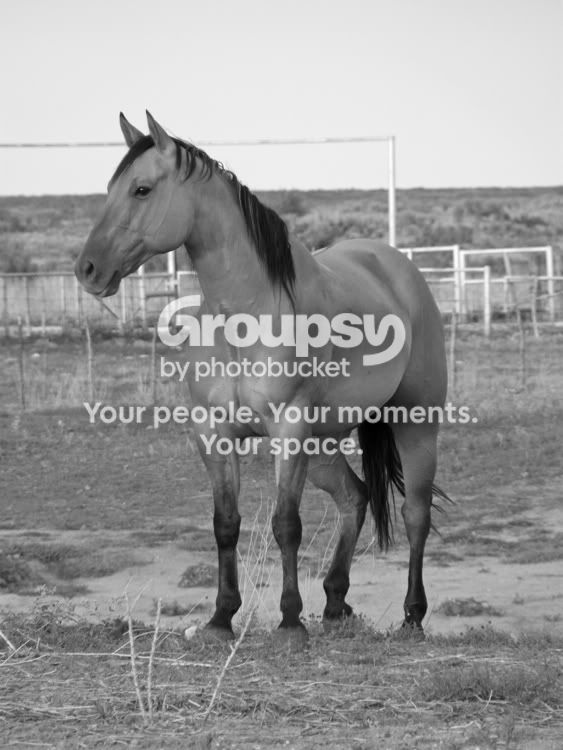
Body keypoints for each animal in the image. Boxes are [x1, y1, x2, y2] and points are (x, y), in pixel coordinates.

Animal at [75, 111, 449, 643]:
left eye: (141, 189)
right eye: (110, 189)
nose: (88, 269)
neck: (246, 316)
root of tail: (397, 268)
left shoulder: (288, 430)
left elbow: (286, 524)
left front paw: (290, 622)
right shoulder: (214, 432)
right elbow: (226, 524)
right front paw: (220, 618)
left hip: (415, 423)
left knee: (415, 512)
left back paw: (412, 616)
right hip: (323, 444)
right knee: (354, 498)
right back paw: (335, 601)